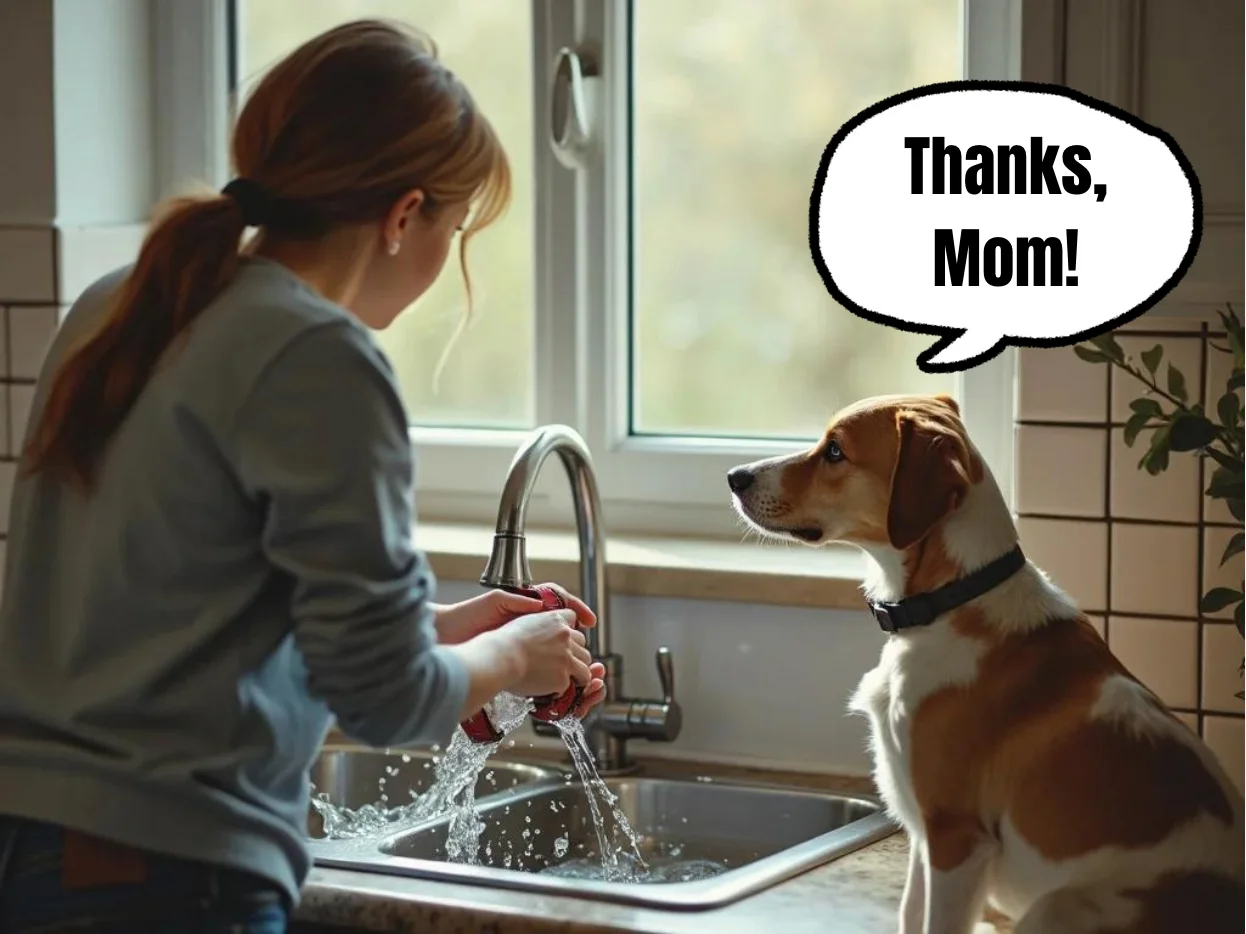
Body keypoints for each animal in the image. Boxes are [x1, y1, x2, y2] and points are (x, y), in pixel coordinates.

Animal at [727, 396, 1241, 934]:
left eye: (835, 451)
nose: (734, 476)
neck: (952, 601)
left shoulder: (956, 838)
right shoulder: (924, 837)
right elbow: (911, 915)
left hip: (1057, 907)